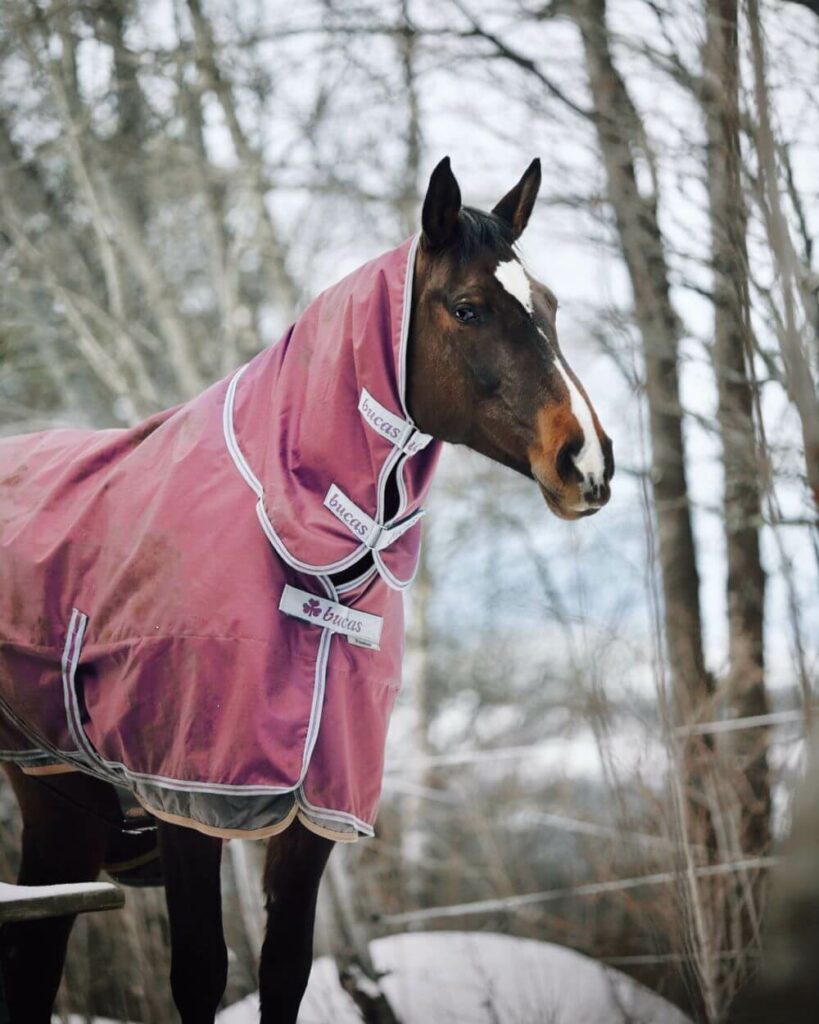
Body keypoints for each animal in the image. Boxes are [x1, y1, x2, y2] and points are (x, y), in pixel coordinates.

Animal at [0, 155, 614, 1019]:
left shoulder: (315, 812)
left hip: (55, 797)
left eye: (550, 306)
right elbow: (201, 972)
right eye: (466, 308)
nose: (585, 462)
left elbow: (285, 968)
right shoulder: (190, 797)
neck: (287, 529)